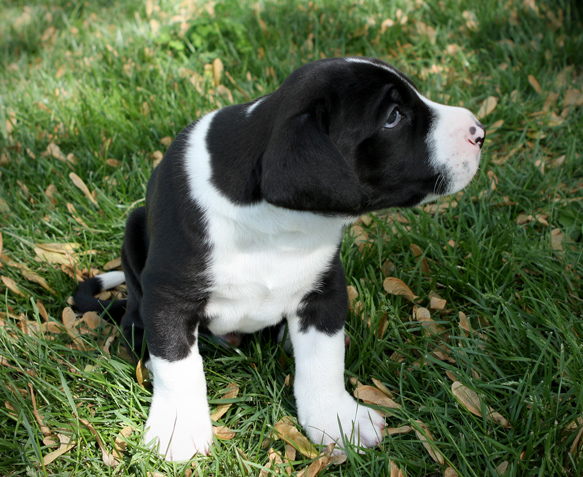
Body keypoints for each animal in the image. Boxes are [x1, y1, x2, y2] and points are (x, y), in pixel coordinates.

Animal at [74, 56, 484, 462]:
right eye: (394, 117)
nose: (479, 132)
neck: (278, 225)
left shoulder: (324, 289)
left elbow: (324, 362)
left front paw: (338, 419)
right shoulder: (168, 298)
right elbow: (178, 367)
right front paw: (179, 429)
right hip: (134, 231)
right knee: (135, 318)